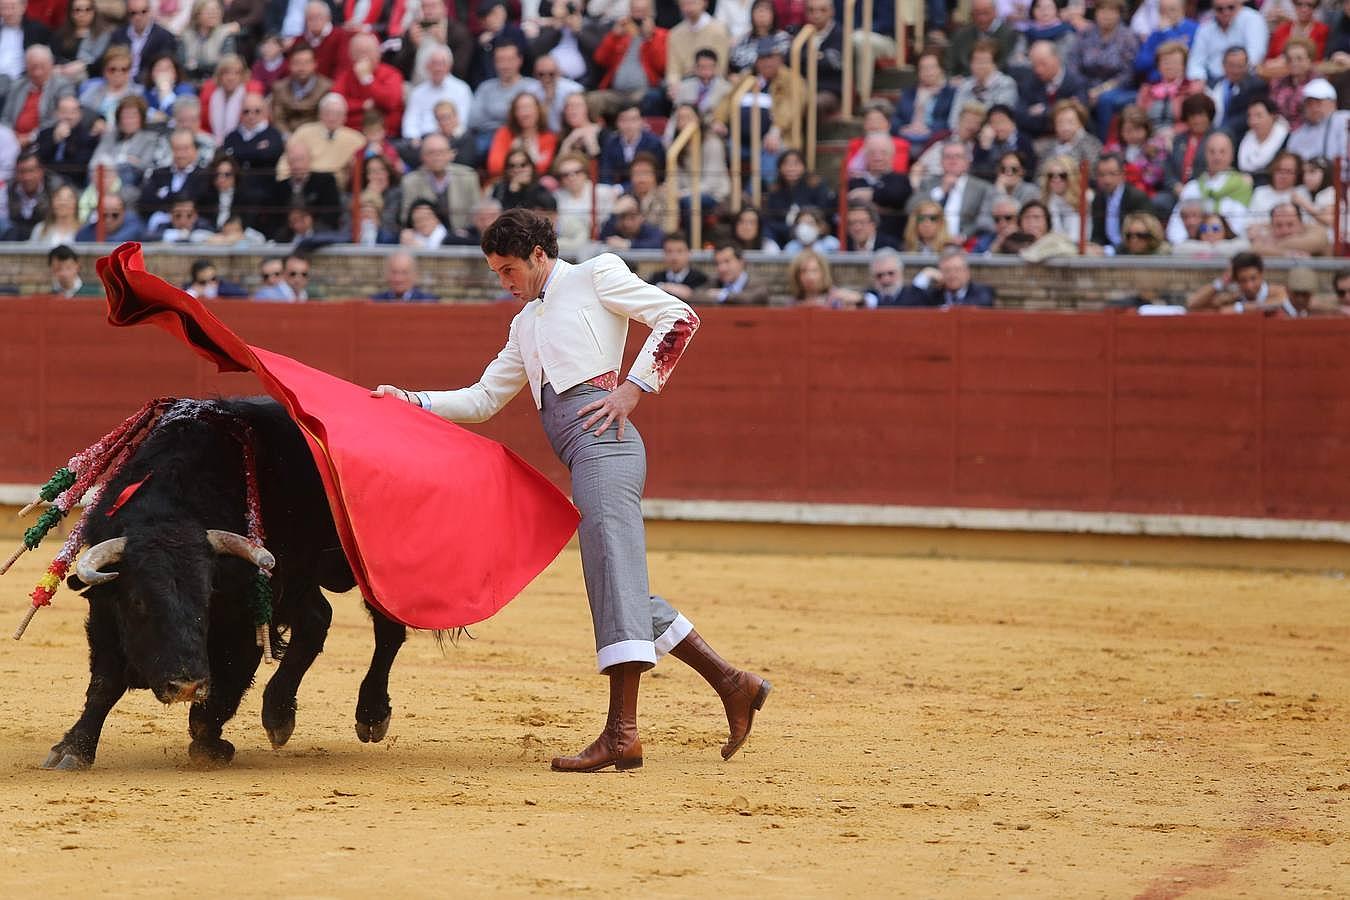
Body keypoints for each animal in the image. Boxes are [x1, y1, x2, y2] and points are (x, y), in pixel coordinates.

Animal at [44, 396, 410, 771]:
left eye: (208, 597)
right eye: (138, 601)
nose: (186, 685)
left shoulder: (249, 617)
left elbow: (230, 679)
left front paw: (209, 741)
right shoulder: (105, 609)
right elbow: (105, 682)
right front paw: (74, 748)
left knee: (387, 629)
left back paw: (369, 714)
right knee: (317, 620)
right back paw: (279, 714)